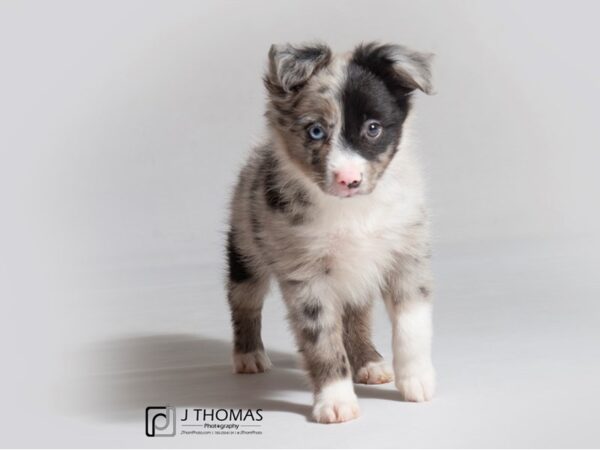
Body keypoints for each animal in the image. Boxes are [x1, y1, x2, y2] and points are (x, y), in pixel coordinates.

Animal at [227, 41, 434, 422]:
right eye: (316, 131)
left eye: (372, 128)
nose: (348, 180)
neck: (354, 211)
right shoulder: (305, 275)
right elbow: (322, 339)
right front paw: (336, 400)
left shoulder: (407, 252)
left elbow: (412, 325)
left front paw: (418, 380)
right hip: (245, 246)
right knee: (244, 301)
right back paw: (248, 355)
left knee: (356, 313)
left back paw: (369, 362)